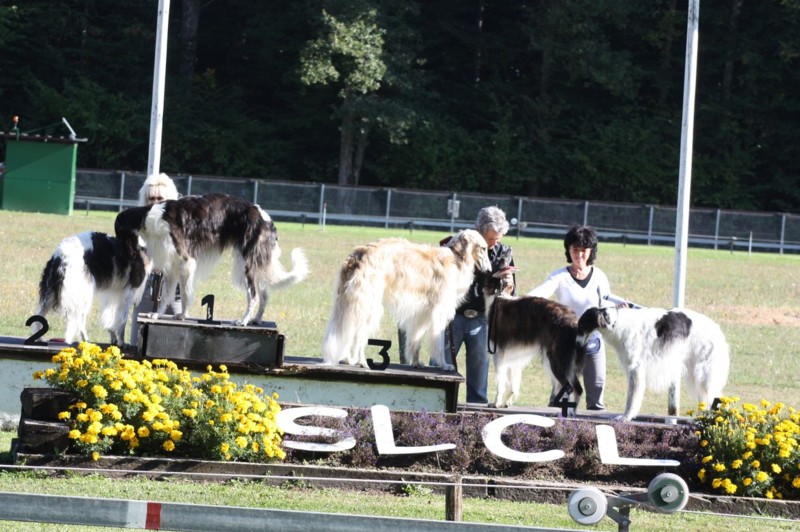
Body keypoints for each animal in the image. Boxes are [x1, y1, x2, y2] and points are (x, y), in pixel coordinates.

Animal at [114, 193, 309, 326]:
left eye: (119, 231)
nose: (126, 253)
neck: (149, 217)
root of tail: (265, 217)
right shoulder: (173, 266)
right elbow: (171, 294)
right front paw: (170, 315)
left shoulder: (185, 261)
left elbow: (183, 293)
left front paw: (171, 315)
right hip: (250, 264)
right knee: (265, 294)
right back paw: (257, 319)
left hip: (245, 265)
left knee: (253, 296)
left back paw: (243, 320)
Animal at [322, 230, 492, 370]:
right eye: (483, 248)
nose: (489, 270)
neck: (456, 259)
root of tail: (357, 256)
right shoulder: (439, 312)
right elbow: (438, 344)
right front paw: (444, 365)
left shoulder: (422, 314)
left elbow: (415, 341)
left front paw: (416, 363)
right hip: (369, 306)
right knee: (359, 336)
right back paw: (362, 362)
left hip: (348, 303)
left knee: (348, 331)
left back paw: (347, 359)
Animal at [482, 272, 585, 408]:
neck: (496, 296)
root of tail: (574, 322)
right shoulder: (512, 355)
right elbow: (512, 382)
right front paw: (507, 401)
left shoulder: (498, 352)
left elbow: (501, 381)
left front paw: (496, 402)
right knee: (577, 389)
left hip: (558, 360)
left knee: (574, 388)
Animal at [577, 306, 730, 421]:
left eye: (582, 325)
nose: (577, 344)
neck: (616, 322)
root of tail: (718, 331)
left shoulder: (636, 369)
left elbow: (631, 399)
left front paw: (626, 416)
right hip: (696, 374)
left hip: (704, 374)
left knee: (717, 398)